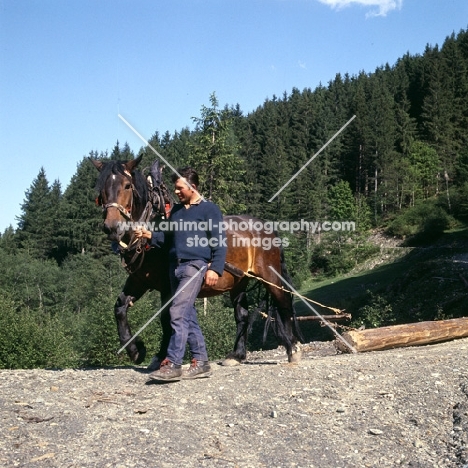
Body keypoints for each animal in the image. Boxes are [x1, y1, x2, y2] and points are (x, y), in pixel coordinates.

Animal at [90, 155, 304, 368]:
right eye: (101, 189)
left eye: (127, 185)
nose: (112, 227)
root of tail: (266, 227)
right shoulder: (139, 280)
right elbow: (120, 307)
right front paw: (135, 350)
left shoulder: (168, 285)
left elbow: (166, 318)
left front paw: (160, 356)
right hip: (239, 281)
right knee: (242, 314)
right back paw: (237, 354)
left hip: (270, 276)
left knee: (284, 304)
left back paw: (292, 349)